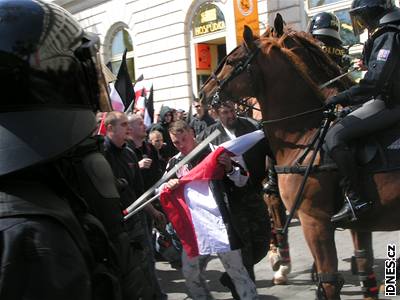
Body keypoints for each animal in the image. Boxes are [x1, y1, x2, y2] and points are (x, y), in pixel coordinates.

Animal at [198, 24, 398, 298]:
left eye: (231, 61)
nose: (203, 92)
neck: (304, 133)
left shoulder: (314, 219)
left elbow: (329, 281)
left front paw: (283, 263)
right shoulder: (358, 225)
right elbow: (366, 273)